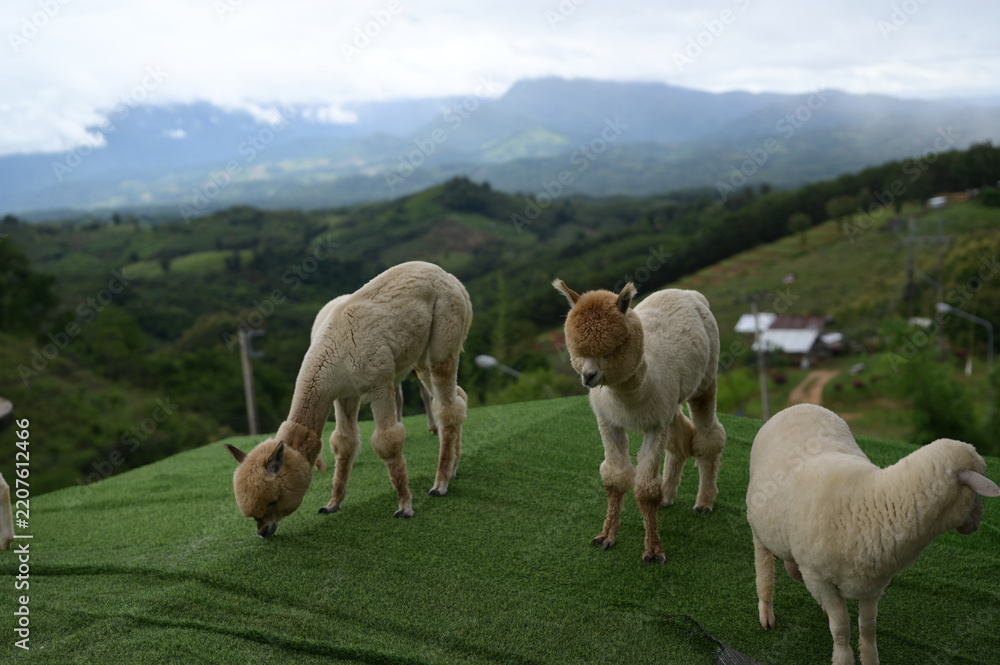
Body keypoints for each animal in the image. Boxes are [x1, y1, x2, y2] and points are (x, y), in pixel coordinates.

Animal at [552, 280, 727, 564]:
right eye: (577, 351)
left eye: (612, 349)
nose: (589, 376)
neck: (630, 402)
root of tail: (689, 293)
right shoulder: (609, 419)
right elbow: (616, 477)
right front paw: (606, 536)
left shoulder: (655, 424)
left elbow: (645, 488)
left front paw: (653, 550)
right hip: (671, 401)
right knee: (679, 442)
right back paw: (668, 496)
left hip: (706, 378)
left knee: (708, 436)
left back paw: (704, 501)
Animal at [747, 403, 1000, 665]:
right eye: (977, 494)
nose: (976, 526)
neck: (873, 501)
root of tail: (799, 406)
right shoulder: (819, 577)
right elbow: (841, 629)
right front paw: (843, 658)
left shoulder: (872, 585)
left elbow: (867, 627)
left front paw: (869, 658)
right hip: (758, 525)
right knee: (764, 567)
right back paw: (766, 610)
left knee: (792, 569)